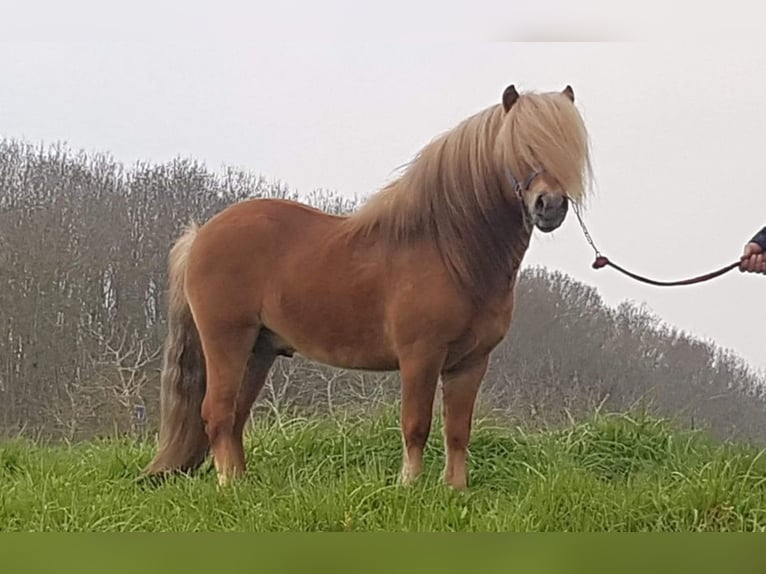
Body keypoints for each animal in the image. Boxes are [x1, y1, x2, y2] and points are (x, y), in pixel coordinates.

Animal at [147, 84, 596, 490]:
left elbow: (457, 431)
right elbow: (416, 424)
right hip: (226, 339)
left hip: (260, 349)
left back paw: (243, 484)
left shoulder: (471, 363)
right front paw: (409, 487)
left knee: (236, 416)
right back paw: (229, 486)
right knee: (217, 412)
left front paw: (456, 490)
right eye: (520, 147)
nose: (550, 206)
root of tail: (201, 234)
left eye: (567, 149)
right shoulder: (420, 356)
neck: (450, 250)